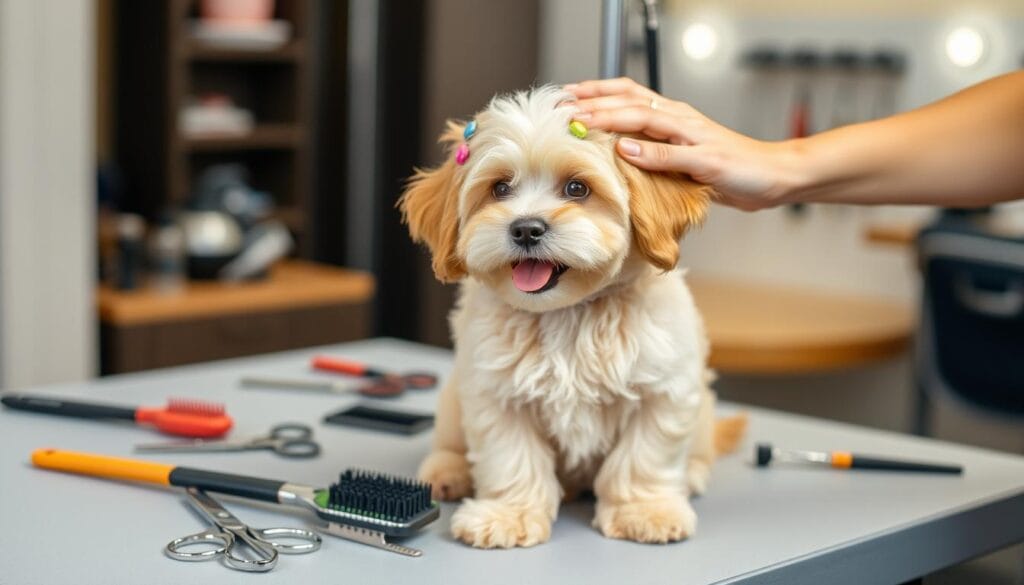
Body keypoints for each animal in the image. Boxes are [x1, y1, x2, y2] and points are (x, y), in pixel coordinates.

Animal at [395, 86, 741, 549]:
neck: (566, 314)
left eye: (577, 188)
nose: (526, 228)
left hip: (703, 411)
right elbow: (511, 457)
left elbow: (644, 456)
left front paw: (643, 510)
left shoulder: (664, 391)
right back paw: (447, 471)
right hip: (452, 401)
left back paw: (693, 474)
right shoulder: (495, 396)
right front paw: (509, 514)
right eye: (500, 188)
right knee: (450, 443)